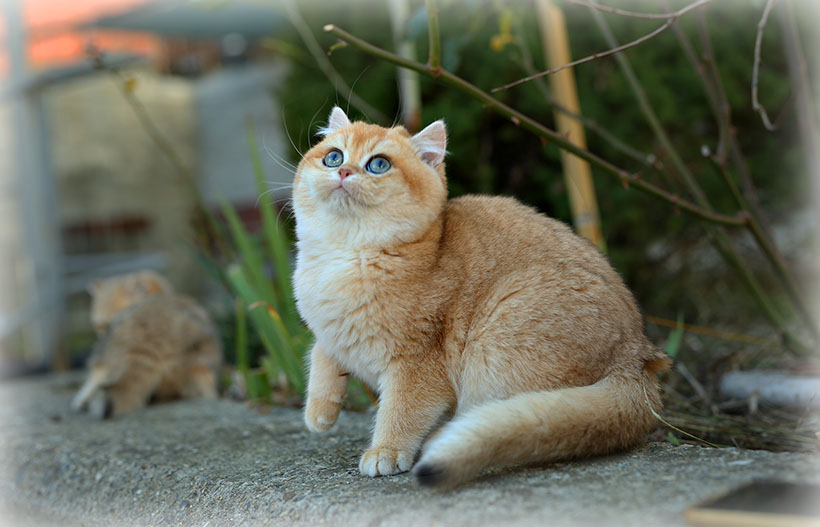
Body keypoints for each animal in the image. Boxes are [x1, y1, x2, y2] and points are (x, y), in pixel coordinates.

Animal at [292, 107, 668, 490]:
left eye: (378, 164)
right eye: (333, 157)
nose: (343, 171)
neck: (345, 255)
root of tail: (638, 358)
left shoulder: (418, 365)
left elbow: (402, 410)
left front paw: (387, 450)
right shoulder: (330, 330)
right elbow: (322, 352)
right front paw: (319, 411)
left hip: (496, 339)